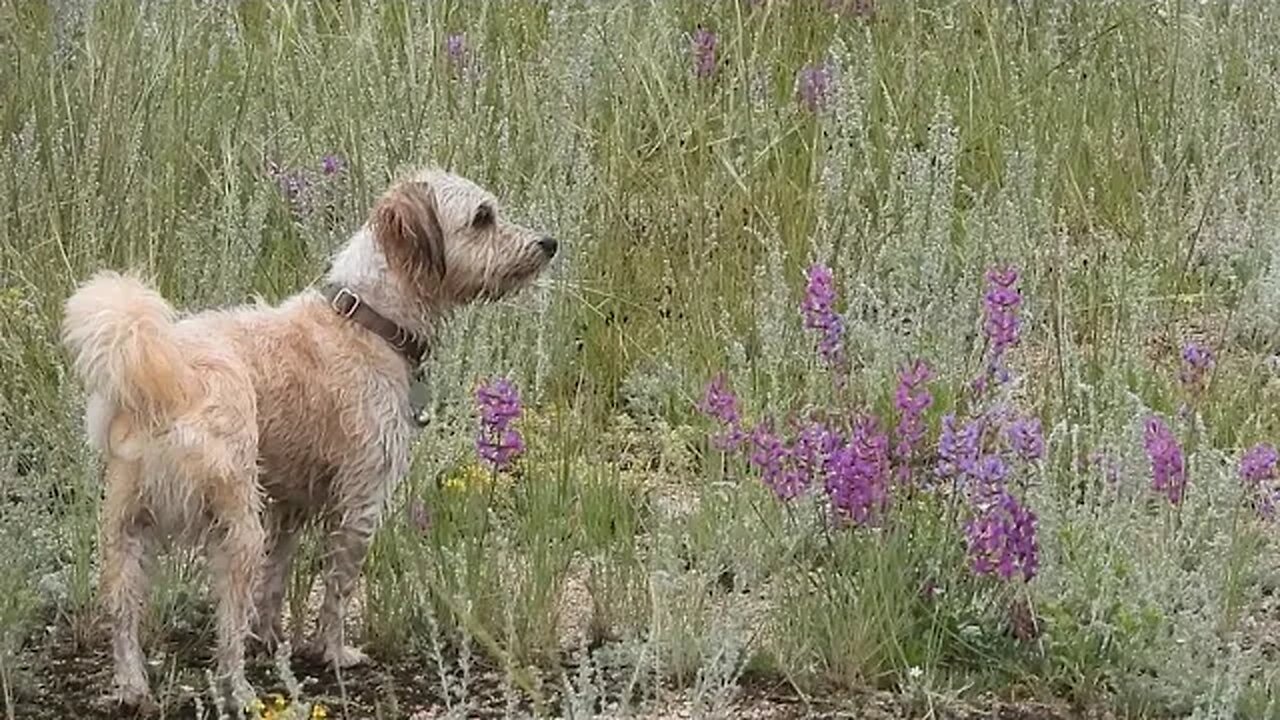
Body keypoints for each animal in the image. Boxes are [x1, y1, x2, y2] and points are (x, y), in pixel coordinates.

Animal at [60, 167, 558, 707]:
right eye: (483, 217)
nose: (548, 243)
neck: (368, 321)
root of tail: (161, 376)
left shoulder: (289, 507)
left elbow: (276, 581)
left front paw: (272, 640)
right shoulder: (360, 503)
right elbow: (338, 590)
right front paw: (332, 652)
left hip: (126, 529)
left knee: (124, 615)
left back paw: (133, 685)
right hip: (238, 529)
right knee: (226, 634)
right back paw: (241, 692)